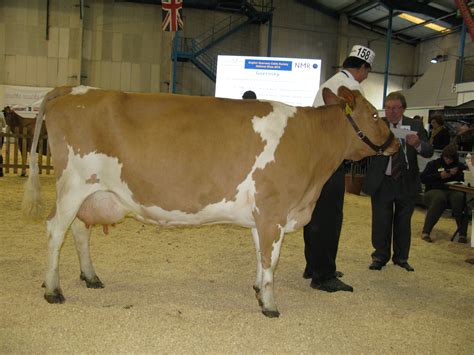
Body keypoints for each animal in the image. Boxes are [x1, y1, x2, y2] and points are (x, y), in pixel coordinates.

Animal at [23, 85, 400, 318]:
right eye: (376, 116)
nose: (397, 142)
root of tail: (75, 89)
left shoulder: (260, 215)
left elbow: (260, 256)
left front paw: (258, 289)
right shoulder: (274, 212)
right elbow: (271, 259)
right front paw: (270, 304)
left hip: (91, 192)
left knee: (79, 231)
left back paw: (90, 277)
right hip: (72, 185)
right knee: (55, 230)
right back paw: (53, 289)